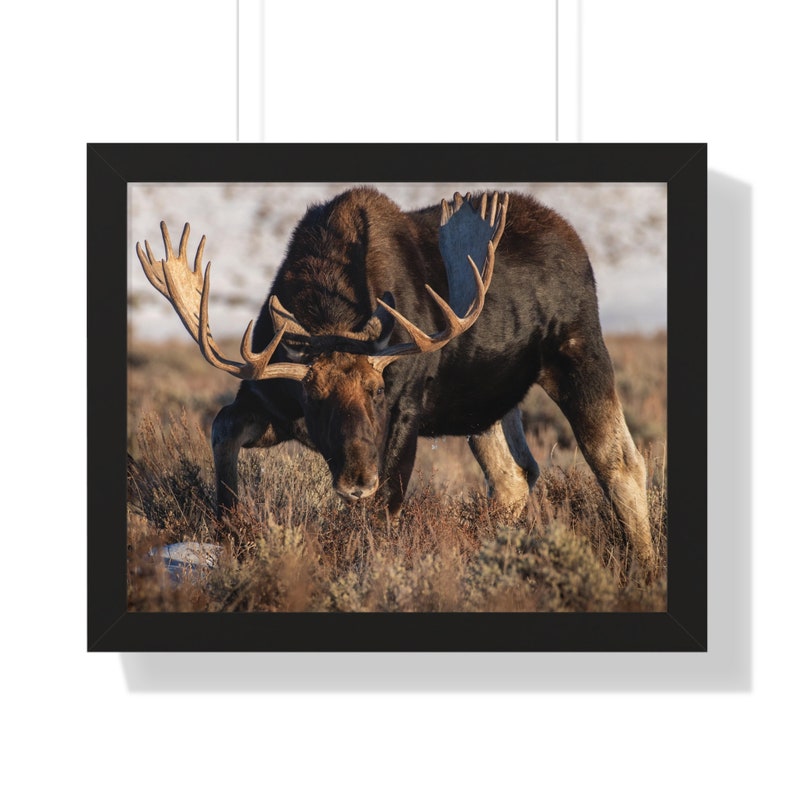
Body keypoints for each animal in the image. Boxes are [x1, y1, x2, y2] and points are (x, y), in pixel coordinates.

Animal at [137, 187, 656, 573]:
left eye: (378, 391)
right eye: (313, 396)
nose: (355, 479)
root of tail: (576, 240)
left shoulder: (405, 415)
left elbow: (385, 506)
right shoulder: (272, 403)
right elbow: (221, 427)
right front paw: (228, 527)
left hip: (578, 351)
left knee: (619, 462)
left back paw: (644, 566)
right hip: (488, 406)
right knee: (514, 474)